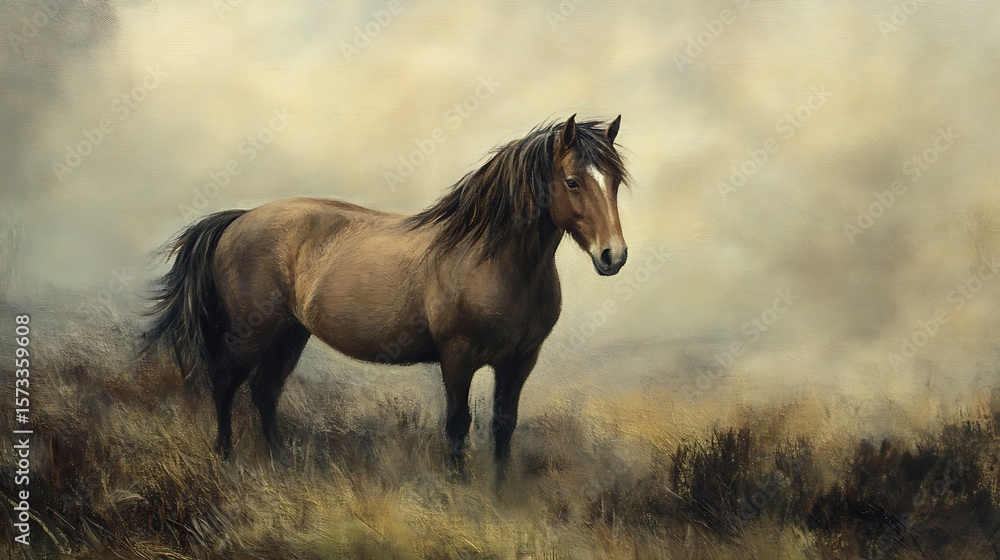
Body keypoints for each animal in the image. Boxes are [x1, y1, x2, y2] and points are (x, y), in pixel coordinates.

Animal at [145, 114, 630, 480]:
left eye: (614, 182)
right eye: (572, 181)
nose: (614, 255)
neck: (493, 260)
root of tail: (239, 219)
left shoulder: (520, 360)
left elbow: (503, 425)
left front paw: (499, 493)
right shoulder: (457, 357)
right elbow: (458, 424)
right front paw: (459, 491)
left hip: (289, 334)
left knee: (265, 392)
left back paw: (280, 462)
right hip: (250, 335)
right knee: (225, 384)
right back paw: (226, 459)